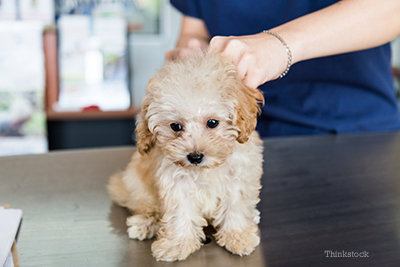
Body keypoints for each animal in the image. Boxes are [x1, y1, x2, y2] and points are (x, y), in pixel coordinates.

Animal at [106, 51, 264, 262]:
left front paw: (238, 236)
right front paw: (177, 243)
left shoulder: (239, 176)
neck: (206, 170)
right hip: (136, 185)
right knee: (145, 206)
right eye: (175, 126)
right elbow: (180, 213)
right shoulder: (176, 182)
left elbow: (236, 206)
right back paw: (145, 223)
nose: (195, 157)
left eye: (212, 123)